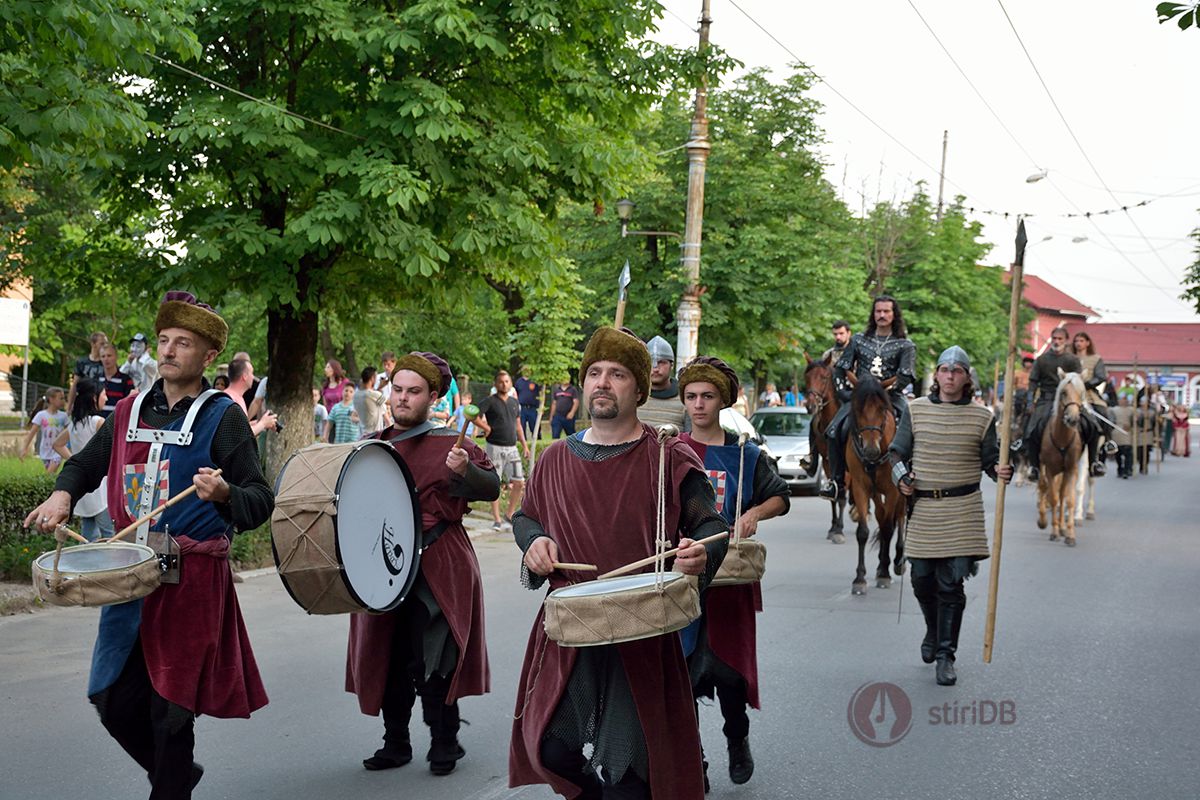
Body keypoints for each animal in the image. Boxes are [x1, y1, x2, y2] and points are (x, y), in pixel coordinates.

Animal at [840, 374, 902, 594]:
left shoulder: (893, 491)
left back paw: (897, 561)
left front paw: (884, 572)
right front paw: (860, 578)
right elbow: (863, 532)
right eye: (857, 409)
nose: (870, 450)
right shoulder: (860, 488)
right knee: (881, 515)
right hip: (875, 492)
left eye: (882, 409)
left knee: (899, 519)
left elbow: (889, 528)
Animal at [1032, 371, 1089, 546]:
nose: (1072, 419)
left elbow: (1069, 499)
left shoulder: (1071, 469)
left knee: (1063, 494)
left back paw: (1063, 527)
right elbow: (1053, 498)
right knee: (1045, 488)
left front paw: (1070, 534)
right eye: (1063, 392)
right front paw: (1053, 530)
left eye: (1081, 392)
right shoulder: (1049, 469)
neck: (1062, 437)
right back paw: (1045, 521)